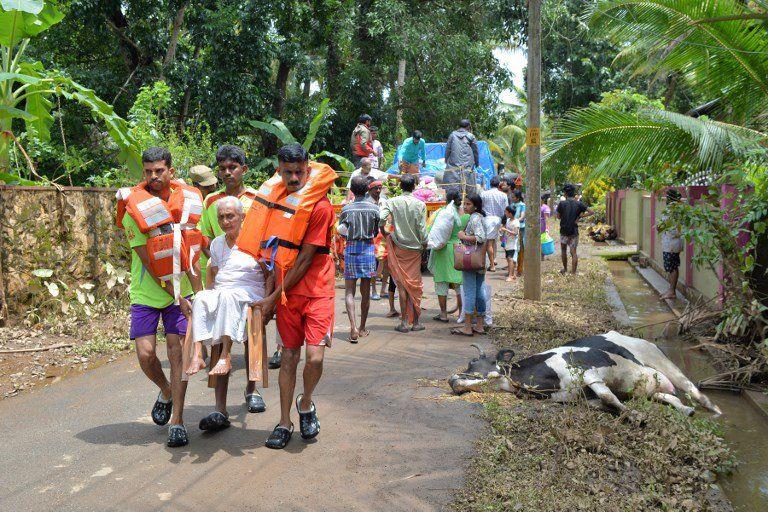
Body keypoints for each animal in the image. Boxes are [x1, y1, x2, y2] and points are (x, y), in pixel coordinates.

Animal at [448, 332, 724, 416]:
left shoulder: (591, 374)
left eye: (474, 361)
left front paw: (634, 416)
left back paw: (715, 411)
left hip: (664, 364)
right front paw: (629, 412)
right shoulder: (579, 398)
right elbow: (606, 403)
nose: (452, 380)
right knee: (670, 397)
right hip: (653, 388)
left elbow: (608, 397)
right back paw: (685, 410)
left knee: (693, 391)